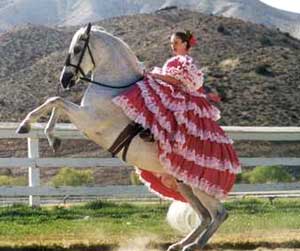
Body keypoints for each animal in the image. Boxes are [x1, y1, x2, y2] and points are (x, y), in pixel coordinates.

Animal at [16, 23, 227, 251]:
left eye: (77, 48)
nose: (65, 80)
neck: (113, 88)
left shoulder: (89, 119)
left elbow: (56, 101)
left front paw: (28, 126)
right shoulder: (84, 117)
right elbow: (56, 103)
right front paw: (49, 137)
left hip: (200, 187)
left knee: (219, 214)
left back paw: (195, 244)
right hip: (183, 184)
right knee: (205, 216)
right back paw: (181, 244)